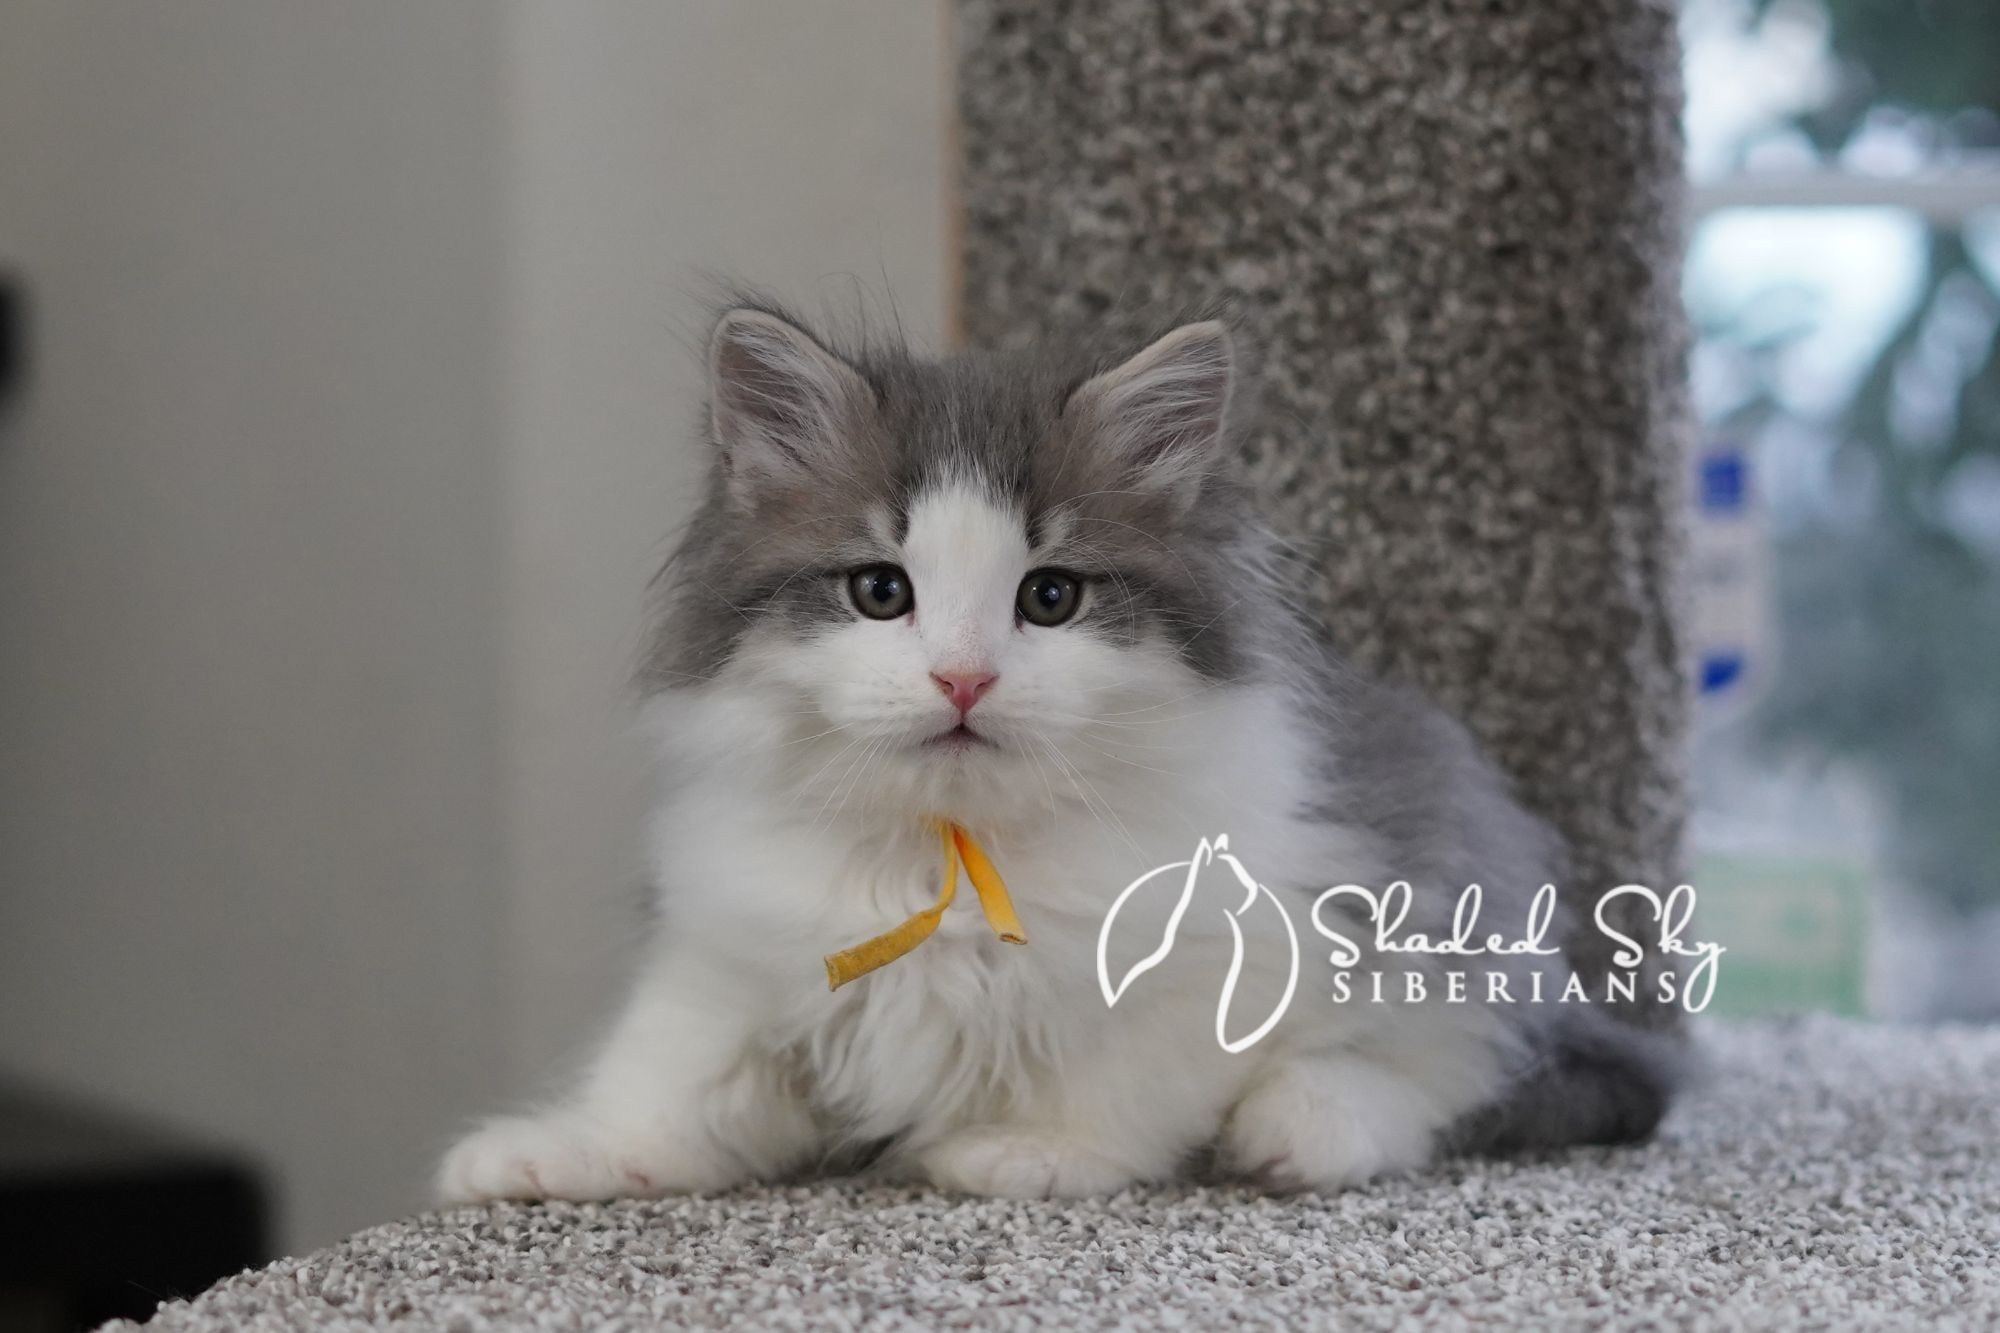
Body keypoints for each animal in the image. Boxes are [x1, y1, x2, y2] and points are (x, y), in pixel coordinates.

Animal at [437, 299, 1683, 1202]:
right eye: (879, 590)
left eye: (1049, 596)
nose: (962, 678)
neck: (945, 847)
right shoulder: (730, 958)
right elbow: (662, 1083)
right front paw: (551, 1152)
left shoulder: (1221, 947)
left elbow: (1121, 1076)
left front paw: (1025, 1151)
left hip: (1451, 921)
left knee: (1453, 1066)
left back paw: (1300, 1126)